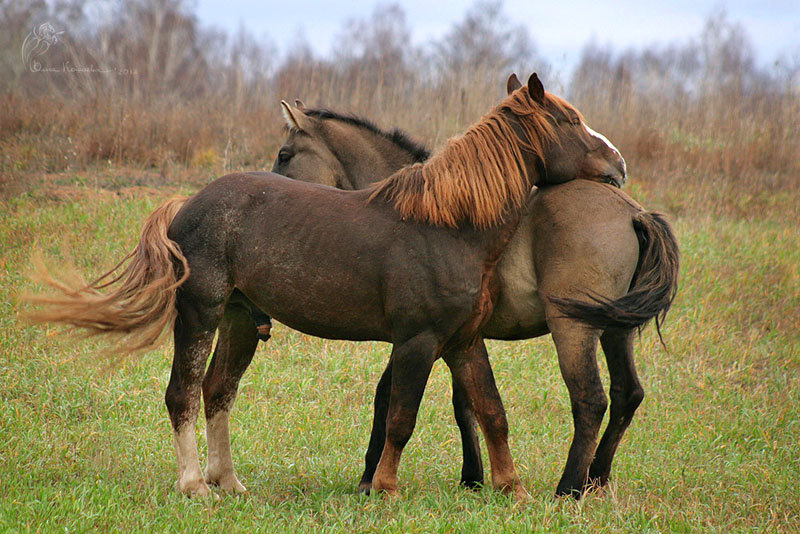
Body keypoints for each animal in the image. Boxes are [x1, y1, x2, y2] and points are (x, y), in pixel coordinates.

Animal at [25, 73, 628, 500]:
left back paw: (230, 482)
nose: (619, 164)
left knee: (218, 391)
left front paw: (510, 488)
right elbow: (402, 416)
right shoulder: (418, 341)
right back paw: (195, 485)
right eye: (570, 120)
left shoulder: (462, 341)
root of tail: (186, 204)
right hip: (201, 312)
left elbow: (490, 411)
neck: (449, 222)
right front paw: (383, 489)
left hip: (240, 320)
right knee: (184, 393)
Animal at [272, 74, 680, 498]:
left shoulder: (426, 335)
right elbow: (465, 402)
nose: (618, 165)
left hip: (573, 329)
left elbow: (393, 397)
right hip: (616, 329)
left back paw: (568, 488)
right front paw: (473, 476)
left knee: (590, 400)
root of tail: (633, 212)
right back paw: (596, 478)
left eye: (285, 155)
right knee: (626, 395)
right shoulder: (453, 336)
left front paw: (374, 476)